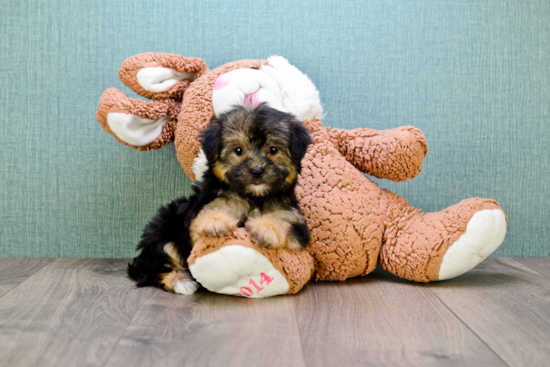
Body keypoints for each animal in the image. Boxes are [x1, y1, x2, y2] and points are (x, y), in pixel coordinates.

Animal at [126, 103, 312, 296]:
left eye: (273, 150)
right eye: (238, 150)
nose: (257, 170)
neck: (253, 196)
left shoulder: (295, 223)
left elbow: (285, 225)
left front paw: (266, 229)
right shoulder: (199, 216)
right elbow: (212, 214)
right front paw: (215, 222)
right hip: (165, 231)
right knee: (158, 265)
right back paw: (180, 281)